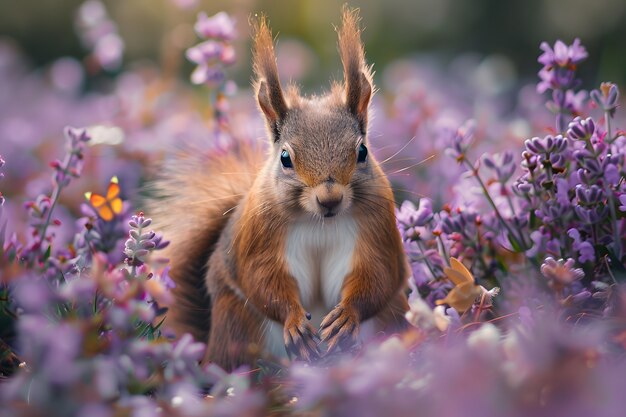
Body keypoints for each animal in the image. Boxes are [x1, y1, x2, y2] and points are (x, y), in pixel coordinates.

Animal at [151, 8, 410, 368]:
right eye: (286, 157)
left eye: (362, 151)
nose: (329, 199)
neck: (319, 222)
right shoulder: (260, 233)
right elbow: (262, 279)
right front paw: (294, 321)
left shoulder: (377, 226)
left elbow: (379, 274)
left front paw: (346, 315)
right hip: (237, 323)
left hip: (392, 318)